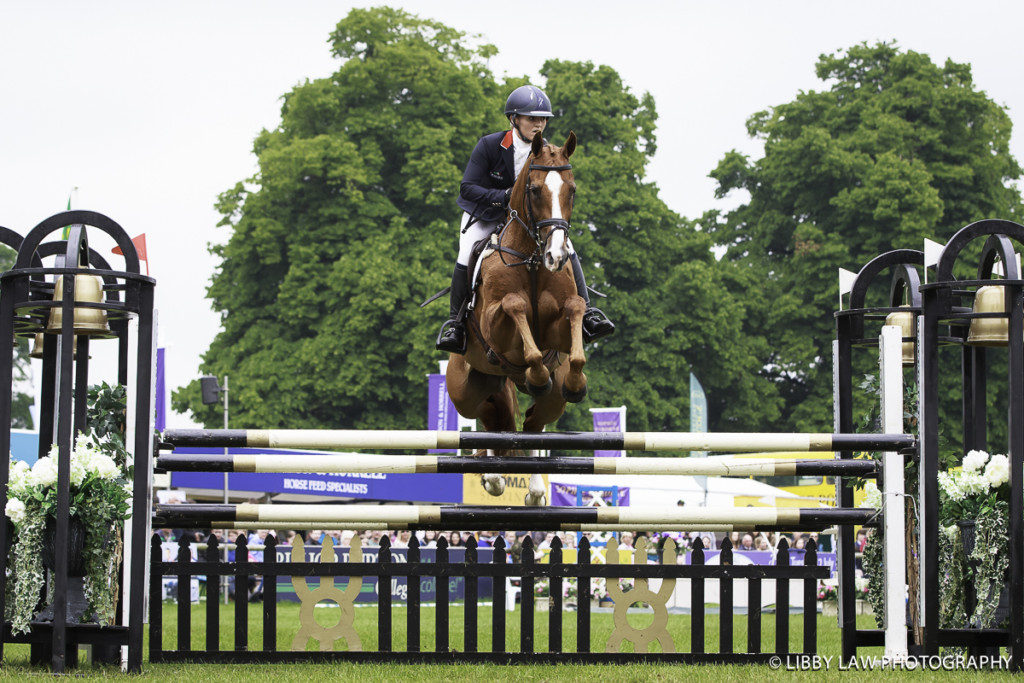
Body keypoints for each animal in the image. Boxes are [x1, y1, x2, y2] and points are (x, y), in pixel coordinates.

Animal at [446, 132, 589, 507]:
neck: (532, 261)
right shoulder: (496, 327)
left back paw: (534, 491)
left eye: (571, 189)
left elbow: (575, 309)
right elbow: (514, 305)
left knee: (529, 427)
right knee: (495, 423)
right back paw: (493, 476)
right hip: (467, 390)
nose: (557, 256)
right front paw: (536, 372)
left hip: (547, 400)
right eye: (535, 190)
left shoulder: (559, 327)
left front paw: (575, 381)